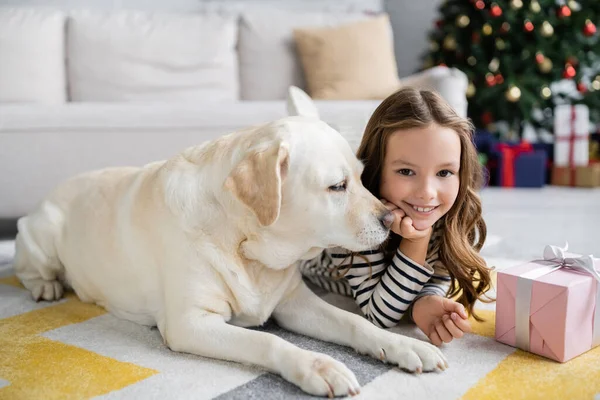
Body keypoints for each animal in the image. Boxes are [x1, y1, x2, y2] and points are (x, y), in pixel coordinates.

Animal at [14, 105, 448, 396]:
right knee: (28, 267)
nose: (391, 220)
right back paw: (45, 286)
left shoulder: (294, 302)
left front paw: (406, 345)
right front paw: (319, 366)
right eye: (336, 186)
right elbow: (268, 341)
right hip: (42, 236)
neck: (246, 244)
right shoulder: (189, 323)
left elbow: (355, 323)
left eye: (360, 177)